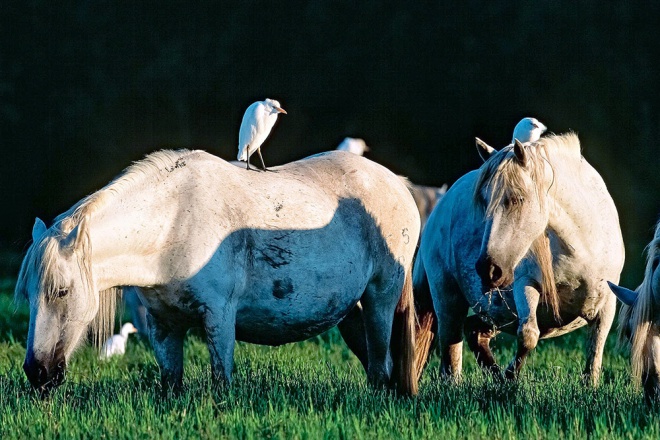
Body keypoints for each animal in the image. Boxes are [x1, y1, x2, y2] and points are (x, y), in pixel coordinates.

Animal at [15, 149, 420, 396]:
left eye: (62, 291)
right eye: (29, 296)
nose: (37, 372)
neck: (173, 222)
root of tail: (398, 184)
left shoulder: (219, 318)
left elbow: (221, 384)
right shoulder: (164, 326)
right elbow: (171, 385)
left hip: (381, 301)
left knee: (381, 368)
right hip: (352, 313)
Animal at [412, 132, 624, 384]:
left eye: (517, 199)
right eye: (483, 201)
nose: (488, 269)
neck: (580, 245)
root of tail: (439, 205)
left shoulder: (606, 307)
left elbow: (594, 357)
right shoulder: (526, 285)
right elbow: (528, 335)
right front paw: (511, 379)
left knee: (474, 330)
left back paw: (495, 376)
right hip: (448, 299)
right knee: (451, 353)